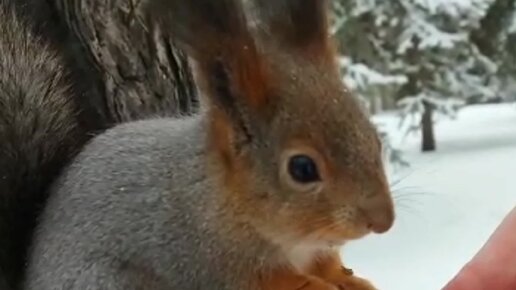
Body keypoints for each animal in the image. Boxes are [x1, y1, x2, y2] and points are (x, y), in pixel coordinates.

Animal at [24, 0, 396, 290]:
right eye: (302, 168)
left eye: (373, 137)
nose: (383, 222)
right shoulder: (210, 258)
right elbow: (281, 282)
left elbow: (326, 265)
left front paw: (349, 279)